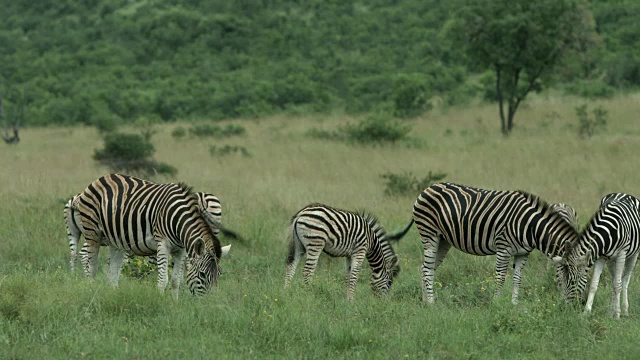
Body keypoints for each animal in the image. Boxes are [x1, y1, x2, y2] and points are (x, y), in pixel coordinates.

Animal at [412, 183, 584, 304]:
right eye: (572, 280)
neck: (530, 226)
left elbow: (517, 278)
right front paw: (496, 303)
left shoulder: (523, 253)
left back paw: (425, 301)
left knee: (425, 268)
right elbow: (500, 278)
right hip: (430, 234)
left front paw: (514, 305)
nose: (577, 305)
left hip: (443, 240)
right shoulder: (503, 249)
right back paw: (431, 303)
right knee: (427, 268)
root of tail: (429, 187)